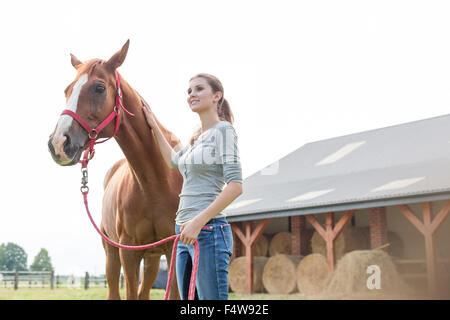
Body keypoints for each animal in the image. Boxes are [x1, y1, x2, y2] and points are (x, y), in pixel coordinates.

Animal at [47, 40, 183, 300]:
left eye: (99, 87)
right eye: (67, 90)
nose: (58, 143)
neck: (156, 181)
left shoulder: (174, 247)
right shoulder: (128, 252)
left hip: (152, 258)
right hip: (112, 253)